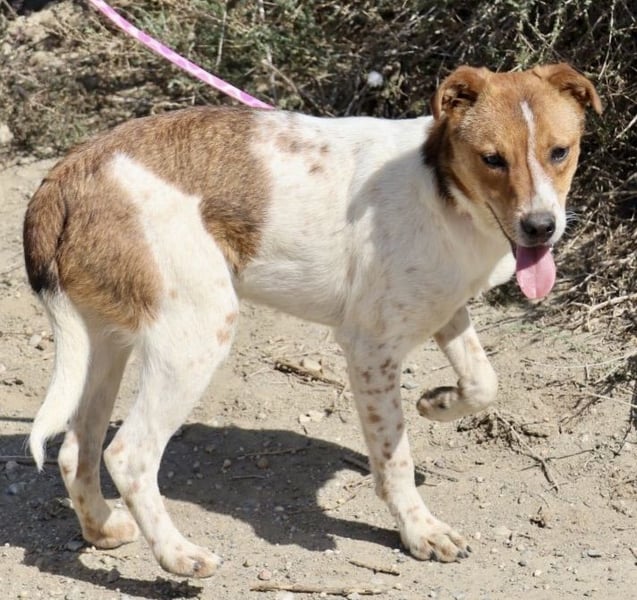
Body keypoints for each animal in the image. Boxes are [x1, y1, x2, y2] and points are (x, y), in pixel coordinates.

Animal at [23, 63, 601, 577]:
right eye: (492, 159)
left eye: (560, 152)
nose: (541, 228)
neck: (443, 189)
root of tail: (65, 176)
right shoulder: (370, 347)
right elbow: (395, 459)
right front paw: (419, 530)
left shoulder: (446, 308)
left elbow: (484, 381)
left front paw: (438, 402)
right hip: (197, 333)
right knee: (128, 454)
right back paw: (177, 555)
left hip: (107, 342)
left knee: (75, 448)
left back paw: (101, 528)